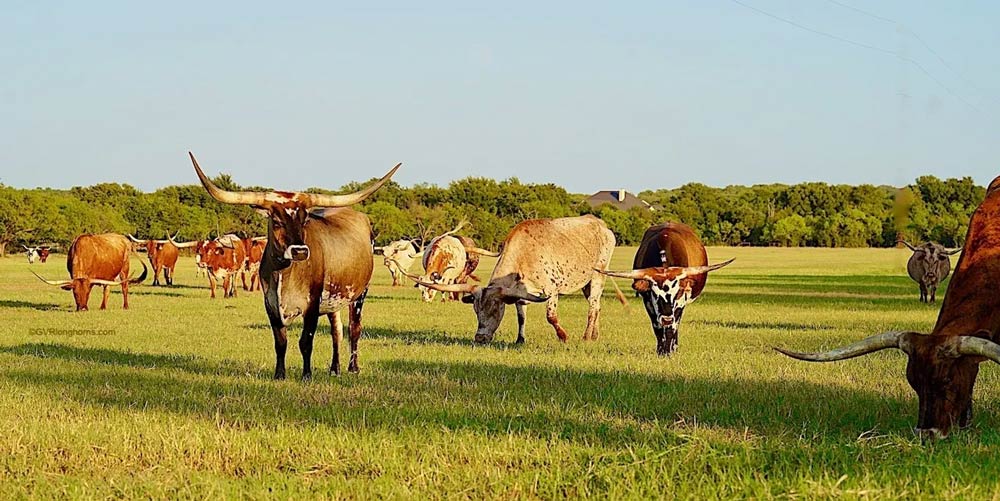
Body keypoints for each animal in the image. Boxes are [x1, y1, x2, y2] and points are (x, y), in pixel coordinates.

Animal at [189, 152, 400, 378]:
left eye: (304, 220)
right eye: (276, 221)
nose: (300, 251)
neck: (284, 274)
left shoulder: (312, 304)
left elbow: (306, 341)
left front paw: (306, 375)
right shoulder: (270, 304)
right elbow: (280, 342)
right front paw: (279, 374)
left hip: (360, 293)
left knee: (354, 329)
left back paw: (353, 367)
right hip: (334, 296)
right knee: (337, 331)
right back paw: (334, 369)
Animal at [402, 215, 620, 344]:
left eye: (494, 309)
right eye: (476, 310)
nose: (480, 338)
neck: (525, 253)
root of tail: (600, 224)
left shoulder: (551, 290)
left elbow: (551, 316)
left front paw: (563, 336)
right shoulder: (520, 293)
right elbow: (521, 317)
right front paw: (520, 340)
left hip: (598, 275)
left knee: (593, 306)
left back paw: (587, 336)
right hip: (586, 283)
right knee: (598, 305)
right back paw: (595, 334)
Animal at [596, 223, 732, 356]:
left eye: (677, 293)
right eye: (655, 294)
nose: (667, 319)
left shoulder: (681, 301)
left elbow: (673, 327)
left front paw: (668, 351)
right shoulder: (648, 301)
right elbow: (657, 327)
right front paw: (661, 351)